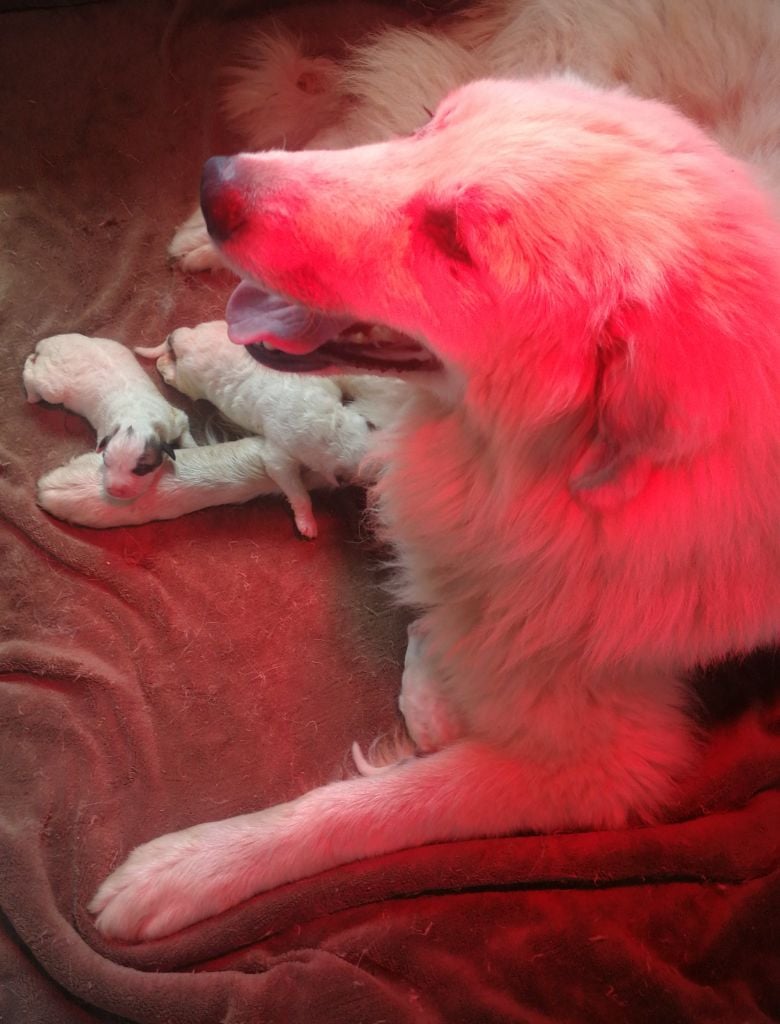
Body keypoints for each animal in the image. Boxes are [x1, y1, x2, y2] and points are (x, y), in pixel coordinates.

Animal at [24, 333, 195, 497]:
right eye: (106, 462)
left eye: (141, 469)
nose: (114, 491)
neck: (137, 417)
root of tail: (46, 344)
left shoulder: (175, 420)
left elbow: (187, 435)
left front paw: (194, 448)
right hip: (52, 387)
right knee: (31, 374)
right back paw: (31, 389)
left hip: (107, 343)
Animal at [88, 2, 773, 942]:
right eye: (431, 131)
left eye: (454, 238)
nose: (213, 181)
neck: (539, 473)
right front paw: (113, 487)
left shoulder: (617, 764)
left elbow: (375, 805)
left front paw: (190, 866)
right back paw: (198, 241)